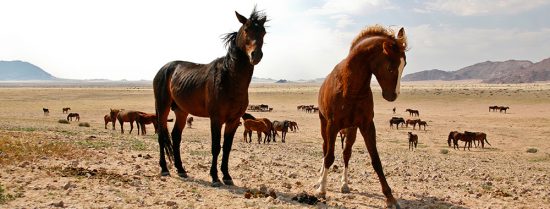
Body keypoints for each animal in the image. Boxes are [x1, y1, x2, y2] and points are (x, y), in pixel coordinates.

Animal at [153, 7, 268, 186]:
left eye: (263, 32)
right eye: (246, 29)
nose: (255, 55)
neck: (229, 79)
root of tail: (164, 69)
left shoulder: (233, 120)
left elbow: (227, 148)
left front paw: (227, 176)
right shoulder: (216, 119)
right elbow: (216, 147)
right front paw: (214, 177)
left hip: (181, 111)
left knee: (175, 137)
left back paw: (181, 169)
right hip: (162, 107)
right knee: (161, 136)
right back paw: (165, 169)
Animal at [314, 24, 406, 207]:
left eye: (404, 66)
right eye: (391, 68)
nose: (393, 95)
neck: (350, 86)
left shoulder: (366, 125)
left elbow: (376, 160)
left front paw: (390, 197)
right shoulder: (332, 125)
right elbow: (329, 156)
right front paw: (322, 189)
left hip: (351, 130)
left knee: (346, 153)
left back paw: (344, 184)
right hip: (324, 125)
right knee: (325, 148)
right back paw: (320, 179)